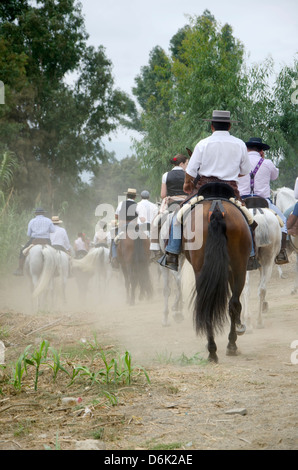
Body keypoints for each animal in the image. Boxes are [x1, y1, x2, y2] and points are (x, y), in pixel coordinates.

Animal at [182, 184, 251, 364]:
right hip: (239, 266)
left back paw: (214, 349)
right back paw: (229, 345)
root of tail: (217, 209)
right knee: (233, 303)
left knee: (209, 304)